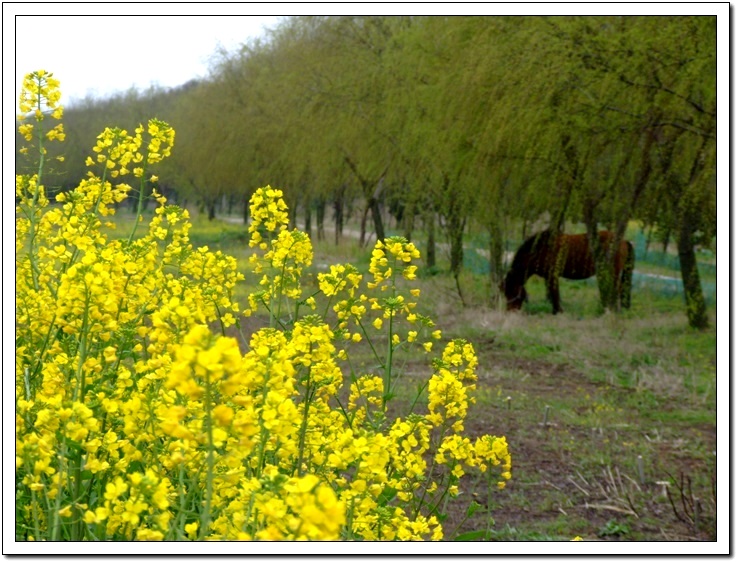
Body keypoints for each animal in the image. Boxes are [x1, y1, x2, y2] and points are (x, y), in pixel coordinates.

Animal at [500, 231, 632, 316]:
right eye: (505, 293)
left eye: (512, 292)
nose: (510, 312)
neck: (540, 249)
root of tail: (623, 240)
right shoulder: (548, 277)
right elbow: (553, 293)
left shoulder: (552, 275)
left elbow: (554, 293)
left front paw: (558, 311)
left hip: (613, 272)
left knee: (617, 289)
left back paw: (616, 310)